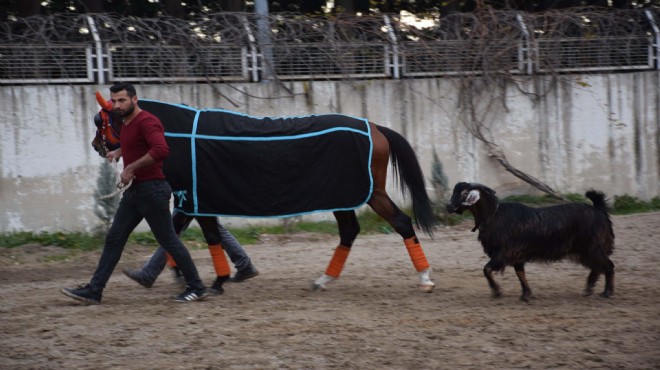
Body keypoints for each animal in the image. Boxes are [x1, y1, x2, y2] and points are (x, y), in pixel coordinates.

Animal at [446, 182, 616, 300]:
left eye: (465, 192)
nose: (448, 207)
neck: (495, 215)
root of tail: (598, 209)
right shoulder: (516, 255)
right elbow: (520, 273)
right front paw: (526, 294)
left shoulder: (504, 253)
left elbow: (487, 269)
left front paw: (497, 292)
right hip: (587, 250)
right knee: (598, 267)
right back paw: (588, 289)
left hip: (593, 247)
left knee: (607, 265)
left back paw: (607, 292)